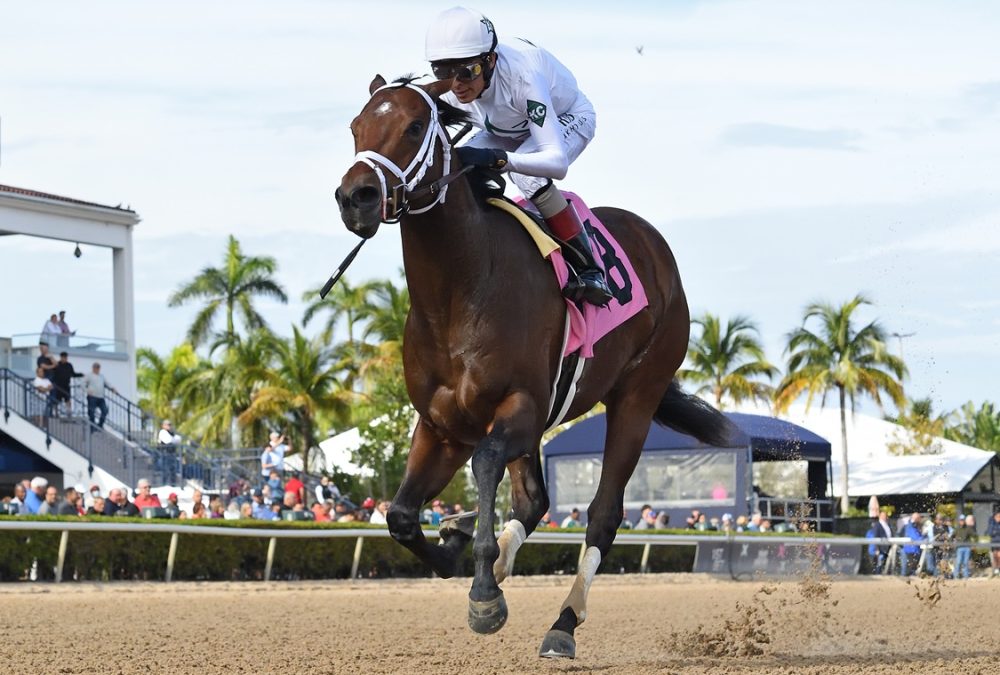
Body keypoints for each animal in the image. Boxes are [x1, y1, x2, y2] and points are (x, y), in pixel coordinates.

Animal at [336, 75, 736, 660]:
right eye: (356, 126)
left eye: (413, 126)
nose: (355, 197)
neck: (461, 289)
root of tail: (655, 246)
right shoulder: (440, 424)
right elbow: (402, 516)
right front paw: (457, 545)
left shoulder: (519, 405)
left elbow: (484, 466)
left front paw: (484, 591)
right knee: (534, 500)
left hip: (637, 394)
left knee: (602, 515)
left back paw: (562, 623)